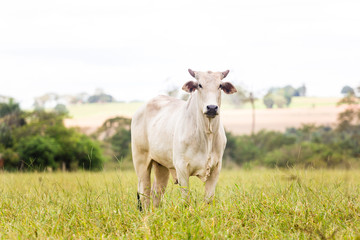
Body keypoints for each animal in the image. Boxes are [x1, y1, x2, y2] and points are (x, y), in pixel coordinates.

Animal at [131, 68, 238, 209]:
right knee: (144, 194)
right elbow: (186, 199)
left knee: (157, 193)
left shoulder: (216, 168)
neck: (206, 135)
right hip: (141, 162)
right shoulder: (181, 168)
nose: (212, 108)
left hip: (161, 166)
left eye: (220, 85)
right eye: (199, 85)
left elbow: (208, 199)